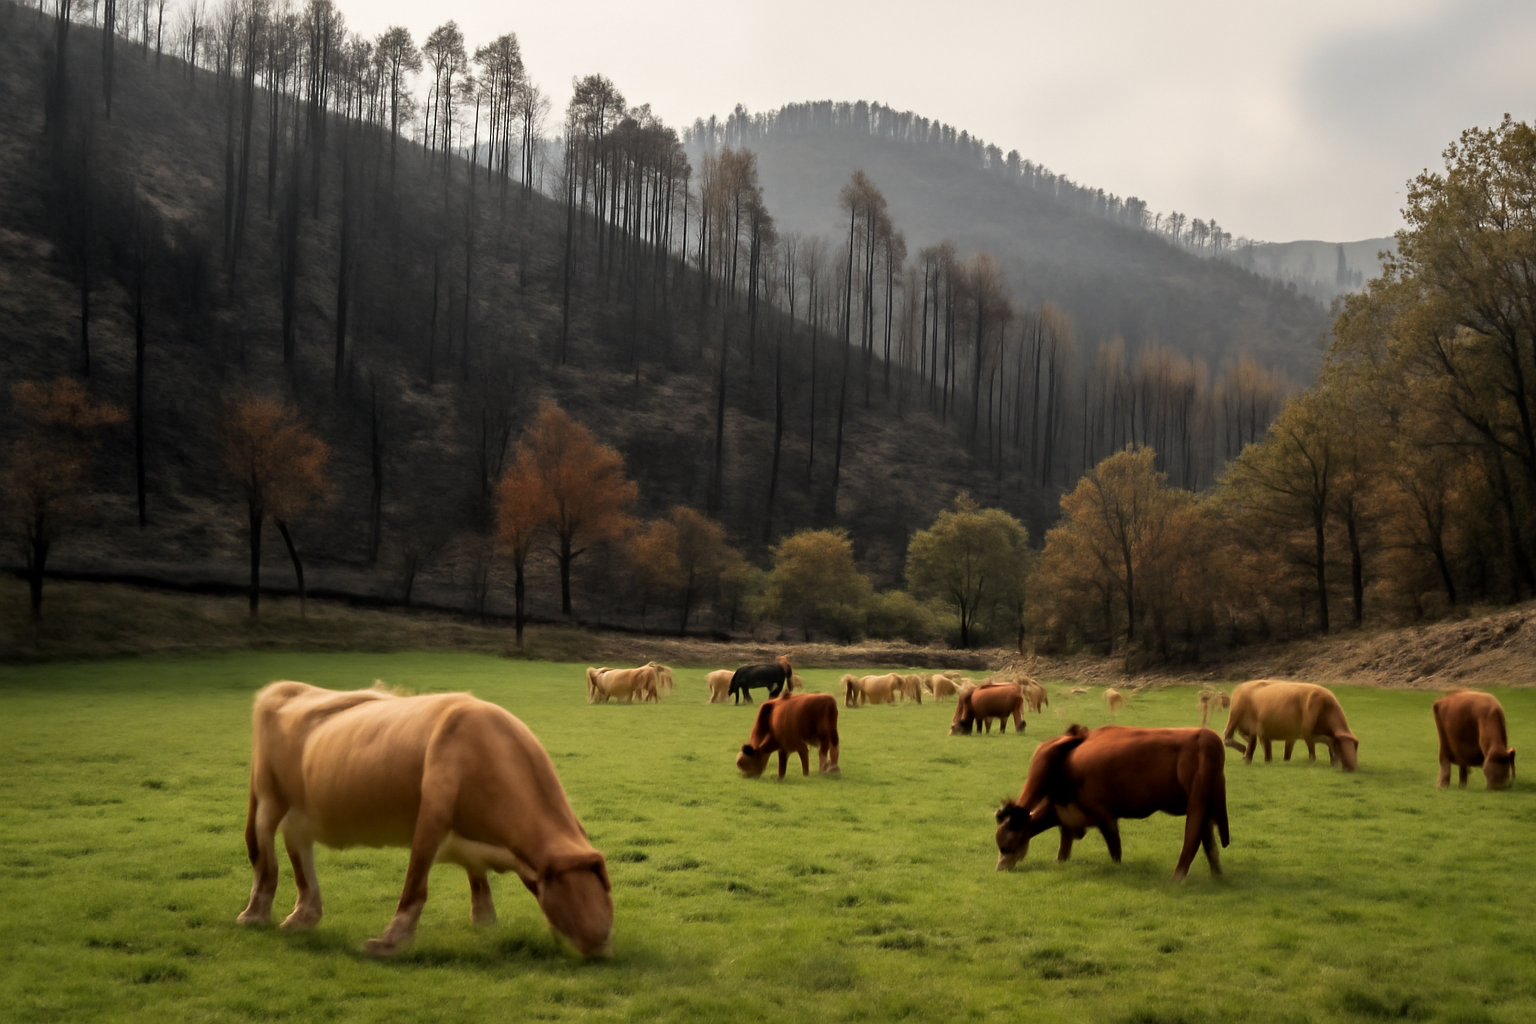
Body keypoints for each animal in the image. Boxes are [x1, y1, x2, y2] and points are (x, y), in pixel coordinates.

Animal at [237, 682, 612, 958]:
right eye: (568, 890)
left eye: (604, 892)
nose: (601, 944)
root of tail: (287, 687)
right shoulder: (431, 817)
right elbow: (416, 883)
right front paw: (388, 943)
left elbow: (478, 880)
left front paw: (485, 925)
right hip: (269, 799)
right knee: (265, 857)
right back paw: (255, 914)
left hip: (301, 811)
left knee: (299, 852)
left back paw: (303, 916)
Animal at [994, 724, 1230, 882]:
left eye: (1005, 847)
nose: (999, 869)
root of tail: (1206, 736)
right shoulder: (1067, 821)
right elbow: (1063, 850)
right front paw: (1060, 861)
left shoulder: (1105, 816)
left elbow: (1115, 850)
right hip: (1206, 802)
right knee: (1208, 841)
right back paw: (1217, 875)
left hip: (1197, 800)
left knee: (1192, 837)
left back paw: (1177, 878)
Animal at [1223, 679, 1359, 771]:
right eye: (1341, 748)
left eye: (1355, 748)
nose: (1351, 767)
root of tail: (1241, 686)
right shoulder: (1307, 733)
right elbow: (1313, 752)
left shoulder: (1292, 736)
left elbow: (1287, 755)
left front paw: (1333, 763)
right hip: (1236, 717)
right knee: (1228, 738)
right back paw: (1244, 752)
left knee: (1252, 743)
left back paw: (1247, 757)